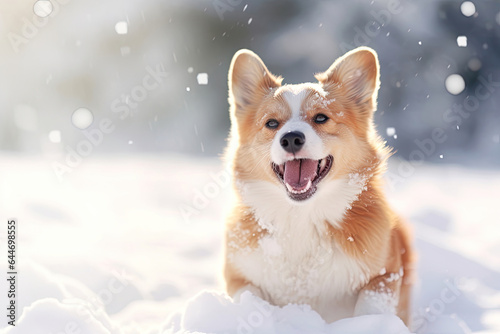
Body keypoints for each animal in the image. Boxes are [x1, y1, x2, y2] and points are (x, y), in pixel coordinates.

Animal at [223, 45, 414, 324]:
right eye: (272, 123)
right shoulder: (238, 276)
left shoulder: (387, 273)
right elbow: (251, 297)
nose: (291, 138)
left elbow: (370, 307)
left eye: (321, 118)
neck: (302, 216)